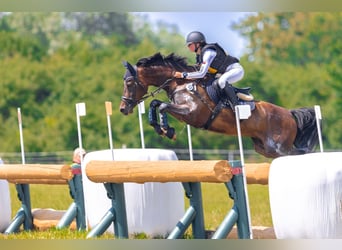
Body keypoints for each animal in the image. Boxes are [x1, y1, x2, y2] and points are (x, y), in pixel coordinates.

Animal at [119, 52, 320, 158]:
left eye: (129, 82)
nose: (123, 108)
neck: (181, 83)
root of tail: (289, 114)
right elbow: (155, 103)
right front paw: (159, 128)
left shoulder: (191, 114)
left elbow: (161, 106)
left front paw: (168, 130)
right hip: (264, 148)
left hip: (278, 148)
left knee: (298, 153)